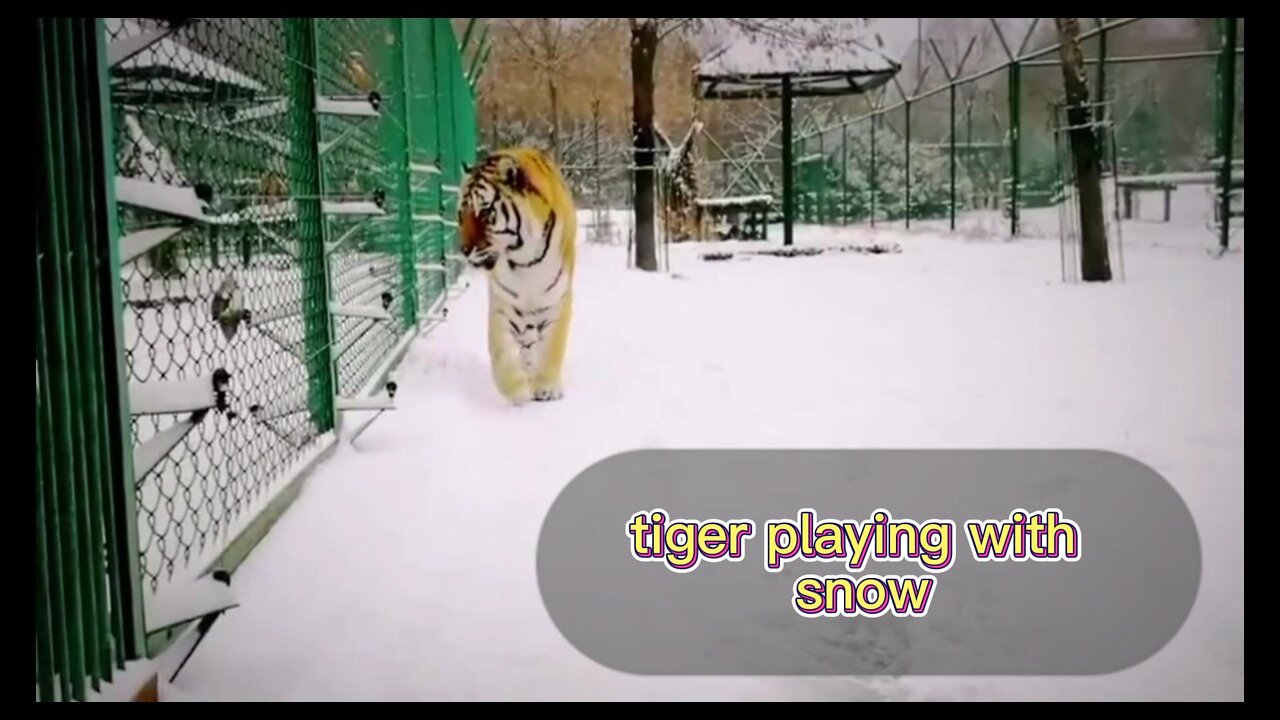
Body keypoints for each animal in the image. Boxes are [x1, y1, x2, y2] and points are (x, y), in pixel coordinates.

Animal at [458, 147, 578, 404]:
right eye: (461, 214)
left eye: (485, 212)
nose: (464, 250)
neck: (525, 262)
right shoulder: (502, 303)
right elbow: (501, 351)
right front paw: (517, 389)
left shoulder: (558, 300)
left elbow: (553, 346)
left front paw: (546, 387)